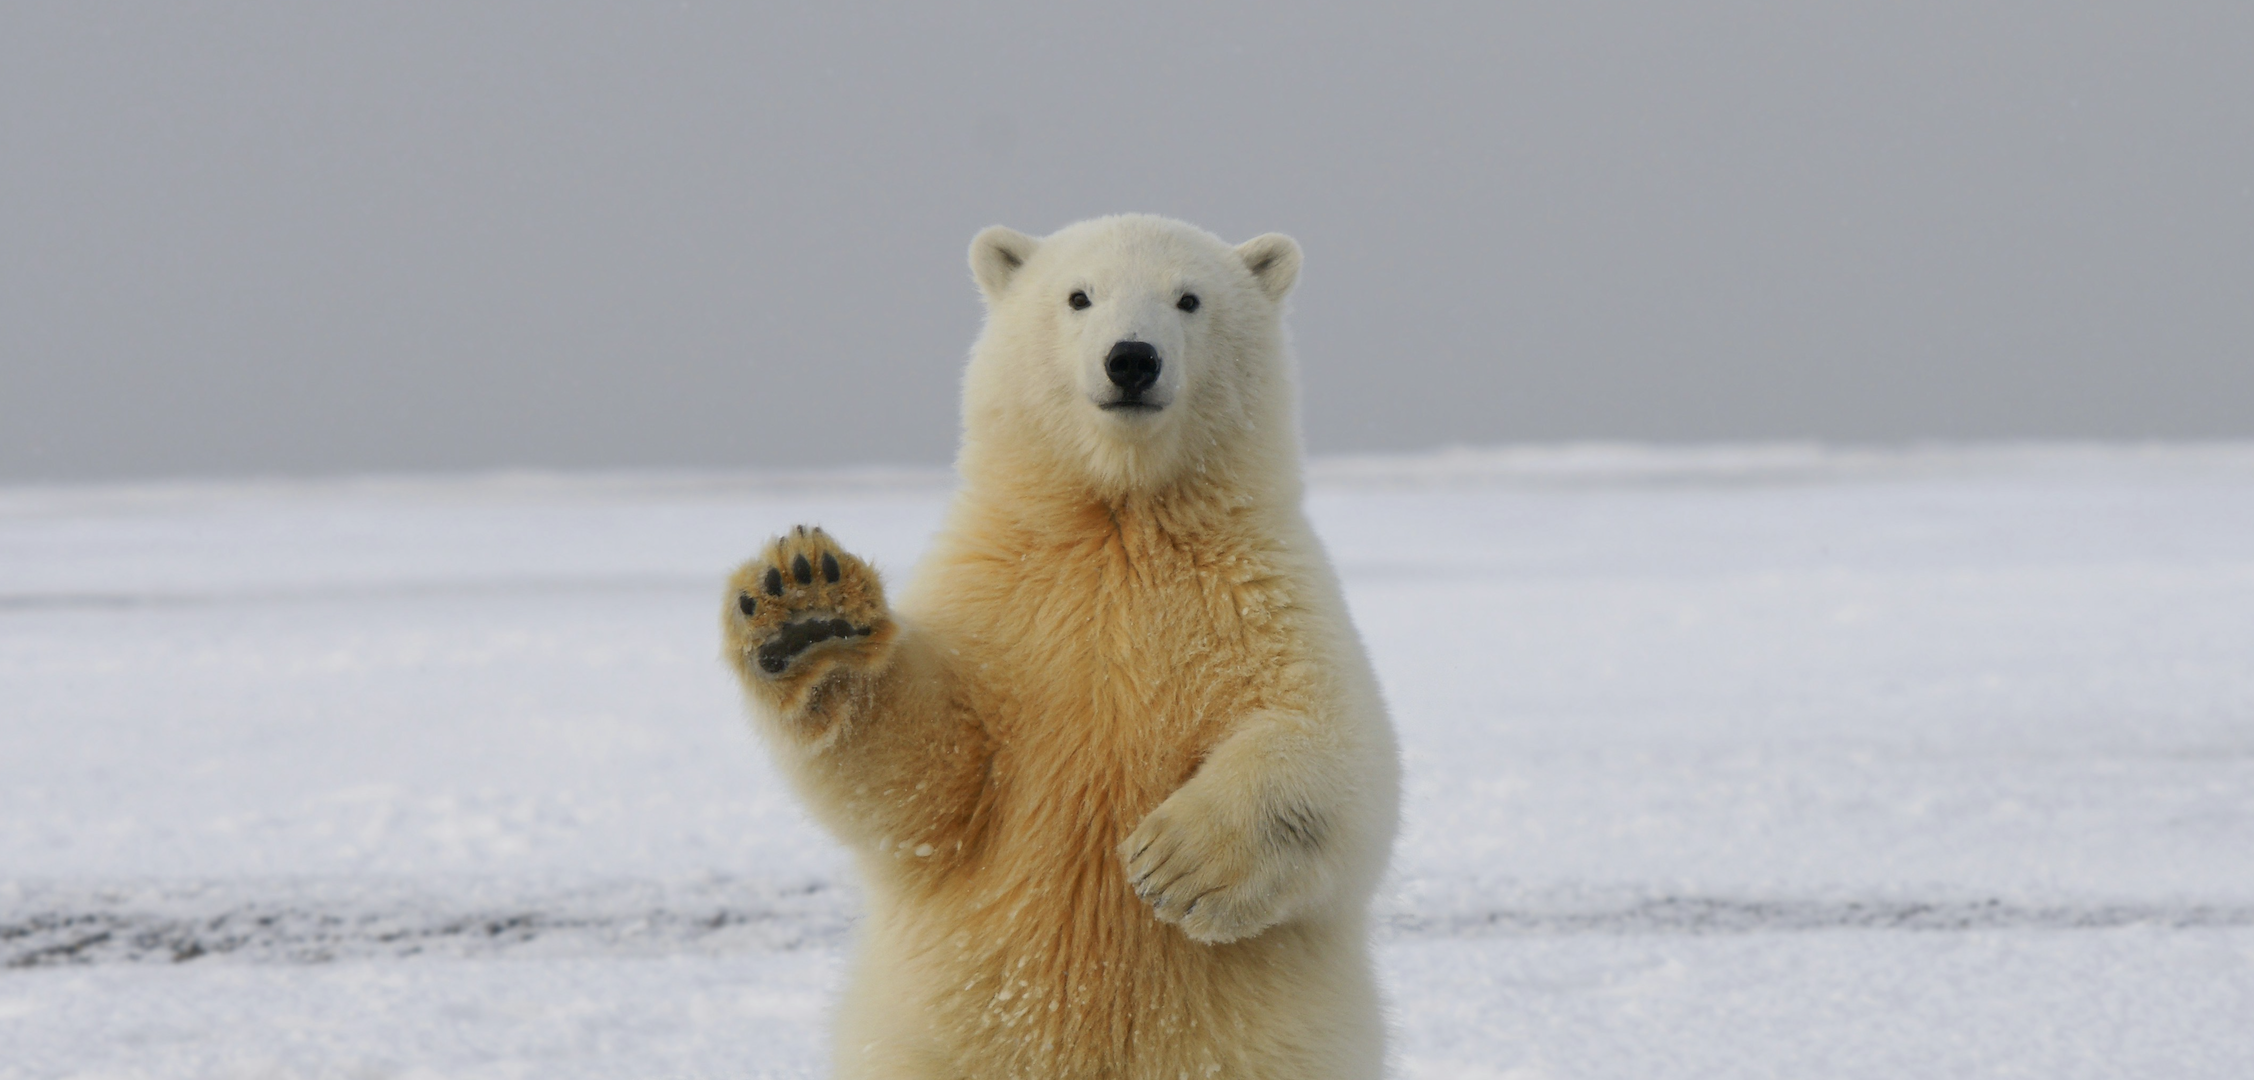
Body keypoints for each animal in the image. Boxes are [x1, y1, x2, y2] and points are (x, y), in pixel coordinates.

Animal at [721, 214, 1399, 1079]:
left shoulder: (1263, 595)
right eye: (1080, 296)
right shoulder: (998, 604)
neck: (1118, 522)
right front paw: (807, 609)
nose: (1131, 358)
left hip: (1256, 1050)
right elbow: (929, 778)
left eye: (1189, 298)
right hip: (936, 1039)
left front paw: (1173, 862)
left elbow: (1337, 748)